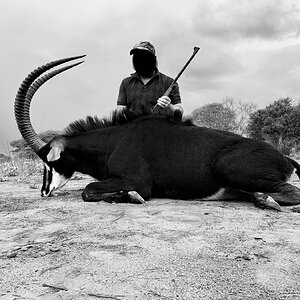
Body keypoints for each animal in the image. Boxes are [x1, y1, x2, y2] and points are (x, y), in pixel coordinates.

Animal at [14, 55, 300, 211]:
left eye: (49, 161)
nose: (44, 191)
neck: (114, 141)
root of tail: (286, 158)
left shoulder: (137, 180)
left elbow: (88, 189)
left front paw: (128, 196)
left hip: (234, 171)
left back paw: (265, 199)